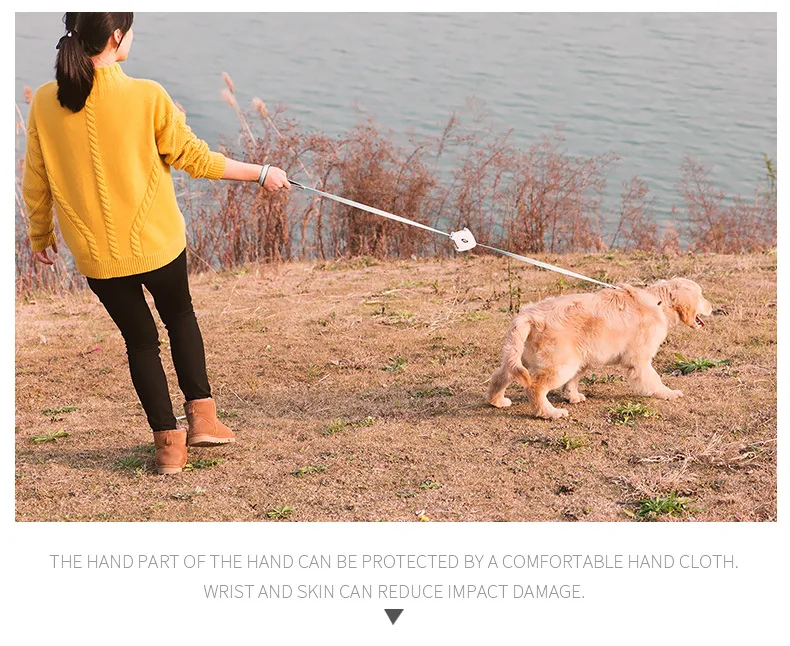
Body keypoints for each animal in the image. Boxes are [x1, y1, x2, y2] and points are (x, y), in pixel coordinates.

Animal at [488, 278, 716, 420]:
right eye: (701, 295)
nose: (713, 307)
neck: (659, 302)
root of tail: (528, 315)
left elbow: (573, 383)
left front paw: (573, 396)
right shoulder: (639, 360)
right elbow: (653, 379)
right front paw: (667, 393)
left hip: (527, 359)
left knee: (501, 375)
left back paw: (497, 401)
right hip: (561, 363)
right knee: (535, 387)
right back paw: (550, 413)